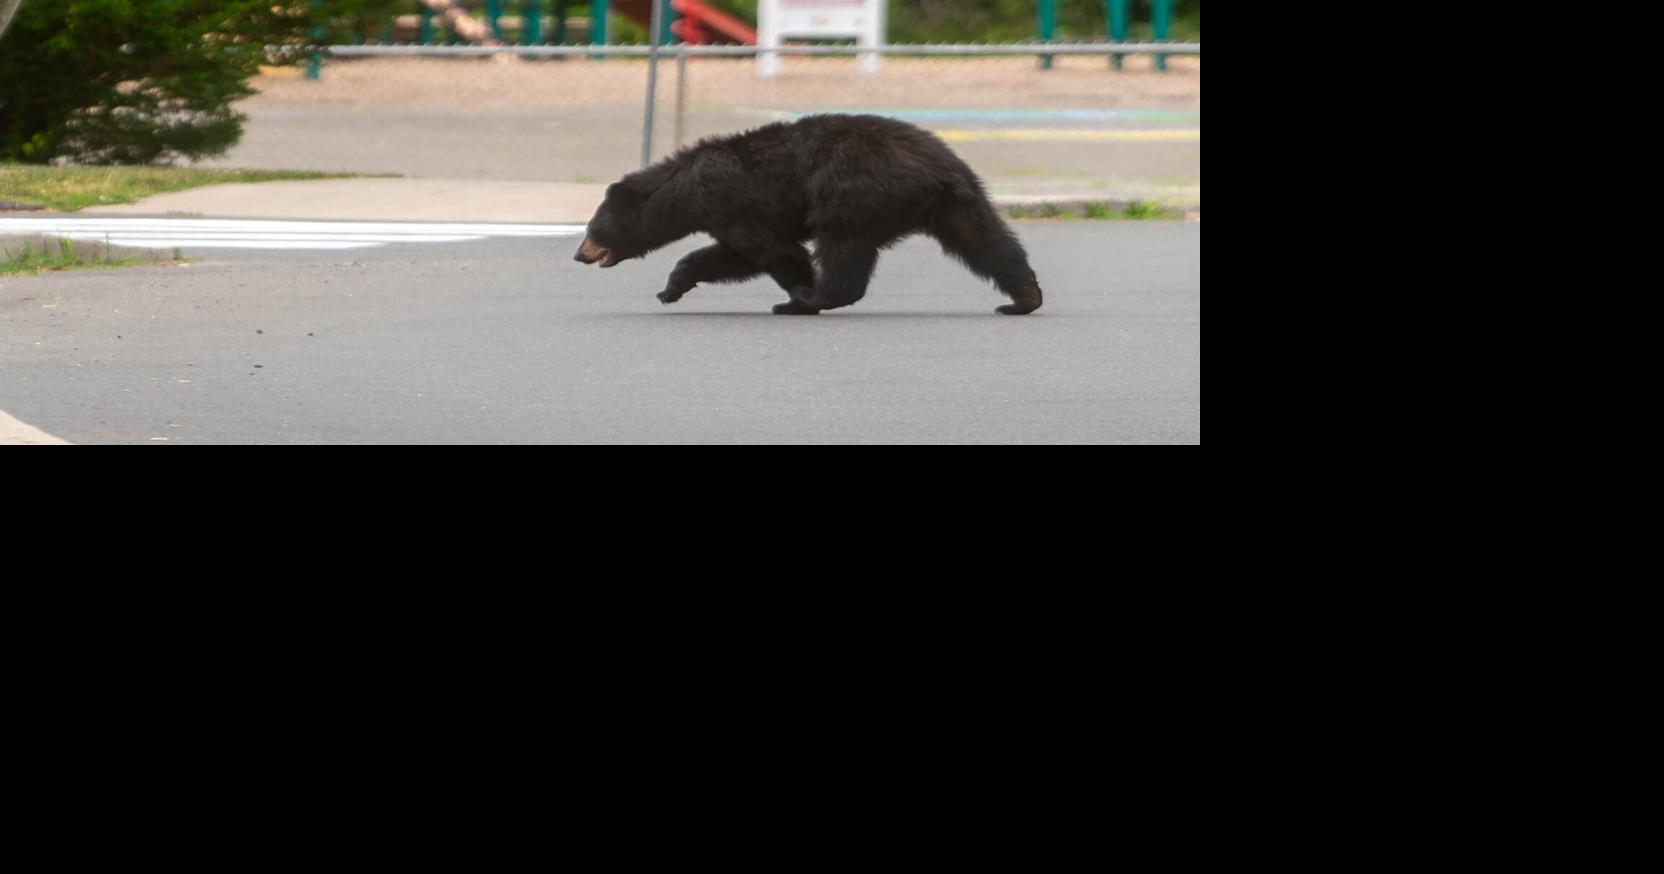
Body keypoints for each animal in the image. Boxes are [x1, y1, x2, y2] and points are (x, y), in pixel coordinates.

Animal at [574, 114, 1043, 316]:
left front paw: (798, 295)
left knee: (842, 248)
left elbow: (773, 250)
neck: (685, 190)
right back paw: (1023, 298)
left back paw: (813, 298)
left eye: (593, 227)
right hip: (957, 202)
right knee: (987, 242)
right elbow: (727, 255)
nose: (579, 254)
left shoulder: (731, 201)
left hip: (852, 193)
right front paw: (670, 288)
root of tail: (936, 169)